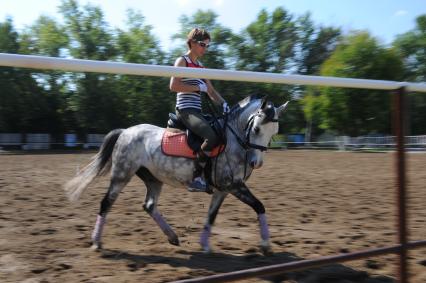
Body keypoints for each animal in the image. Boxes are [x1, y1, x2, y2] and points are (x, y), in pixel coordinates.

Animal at [64, 95, 290, 255]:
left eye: (274, 132)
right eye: (257, 128)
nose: (256, 163)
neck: (233, 140)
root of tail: (125, 131)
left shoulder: (223, 190)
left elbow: (211, 216)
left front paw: (205, 245)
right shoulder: (234, 186)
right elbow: (259, 206)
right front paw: (265, 244)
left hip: (153, 179)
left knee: (149, 205)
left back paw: (172, 236)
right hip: (121, 175)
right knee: (106, 203)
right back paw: (96, 242)